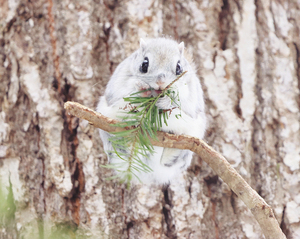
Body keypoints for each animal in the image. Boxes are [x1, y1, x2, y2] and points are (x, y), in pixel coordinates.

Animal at [96, 37, 206, 185]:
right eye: (144, 65)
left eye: (179, 68)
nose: (160, 82)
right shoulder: (120, 82)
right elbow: (130, 87)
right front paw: (142, 89)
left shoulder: (189, 91)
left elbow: (180, 97)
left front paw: (166, 101)